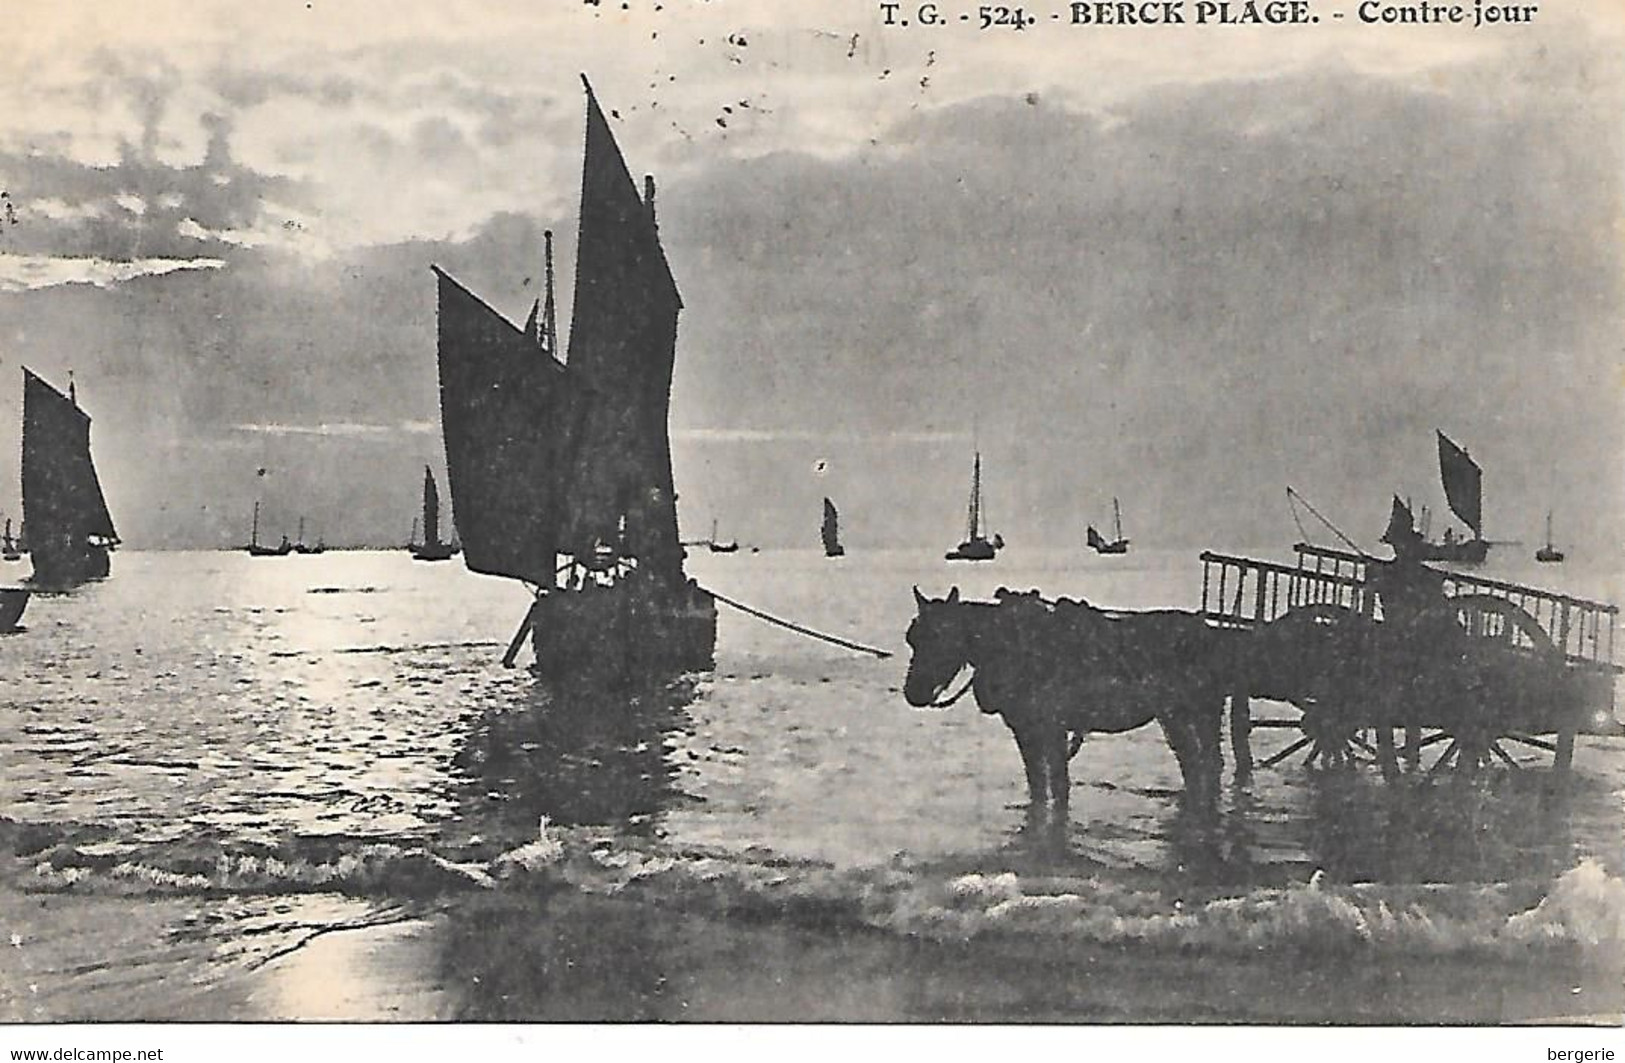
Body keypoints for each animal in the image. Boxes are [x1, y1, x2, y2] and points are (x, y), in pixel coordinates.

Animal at [903, 588, 1228, 819]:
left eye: (941, 635)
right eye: (912, 638)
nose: (913, 692)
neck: (1012, 647)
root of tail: (1207, 631)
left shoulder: (1052, 730)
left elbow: (1059, 785)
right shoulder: (1025, 732)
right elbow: (1038, 784)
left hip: (1199, 715)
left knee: (1209, 764)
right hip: (1175, 717)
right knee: (1194, 764)